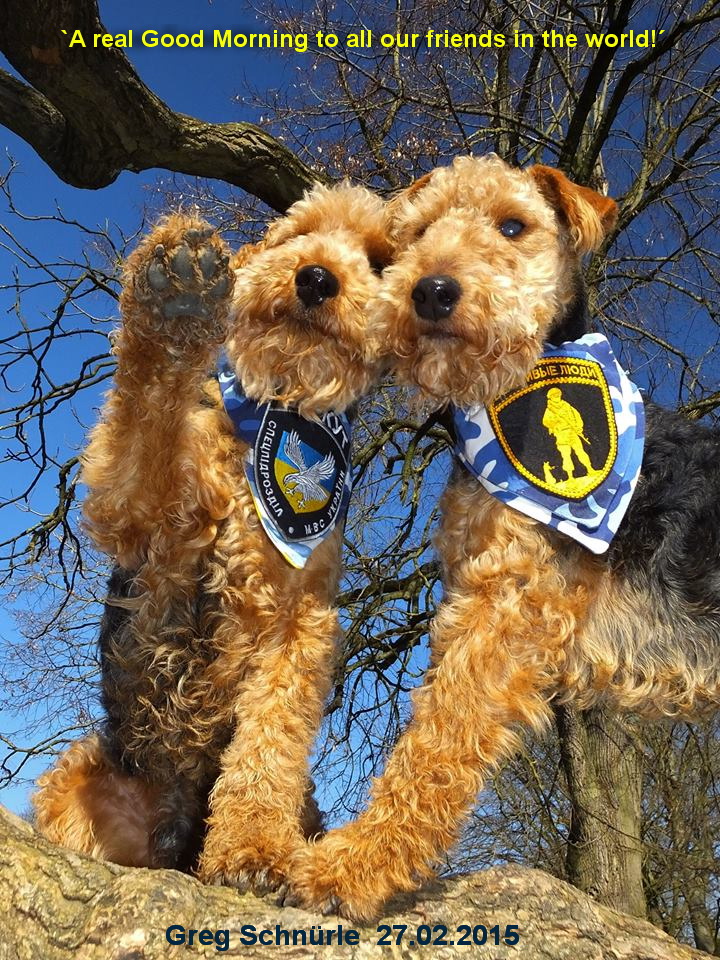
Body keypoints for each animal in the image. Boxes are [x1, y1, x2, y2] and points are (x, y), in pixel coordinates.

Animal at [33, 181, 391, 891]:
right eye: (298, 232)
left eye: (378, 260)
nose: (316, 280)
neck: (276, 416)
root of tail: (173, 825)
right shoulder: (143, 514)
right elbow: (149, 404)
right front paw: (179, 295)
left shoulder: (299, 626)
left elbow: (267, 749)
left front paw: (253, 851)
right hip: (79, 783)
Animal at [288, 154, 720, 919]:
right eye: (419, 231)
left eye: (514, 226)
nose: (431, 291)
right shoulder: (478, 595)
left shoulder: (506, 609)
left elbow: (436, 742)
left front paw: (347, 867)